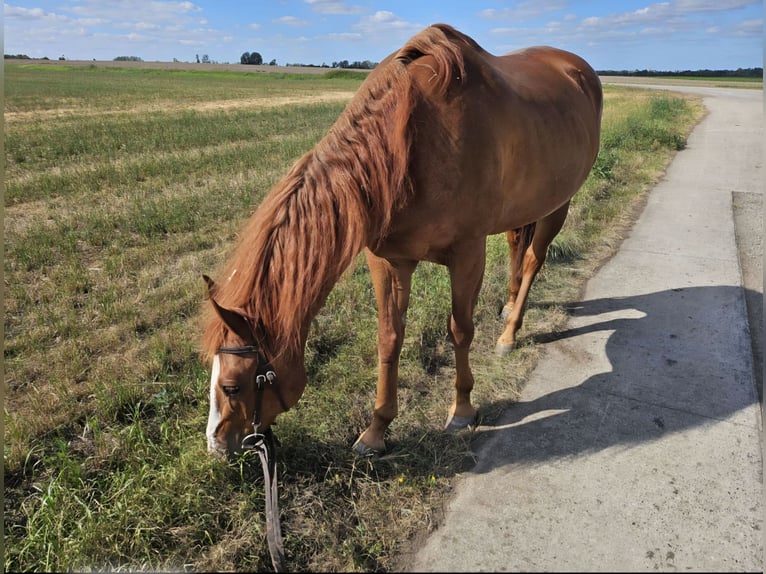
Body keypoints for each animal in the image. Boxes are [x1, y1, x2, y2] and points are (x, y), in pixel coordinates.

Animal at [201, 23, 602, 457]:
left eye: (232, 385)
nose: (216, 445)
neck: (413, 144)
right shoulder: (389, 260)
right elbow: (389, 339)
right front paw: (376, 429)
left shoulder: (467, 254)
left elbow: (460, 329)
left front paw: (462, 409)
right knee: (516, 244)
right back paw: (510, 308)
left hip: (558, 205)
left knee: (531, 261)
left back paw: (509, 334)